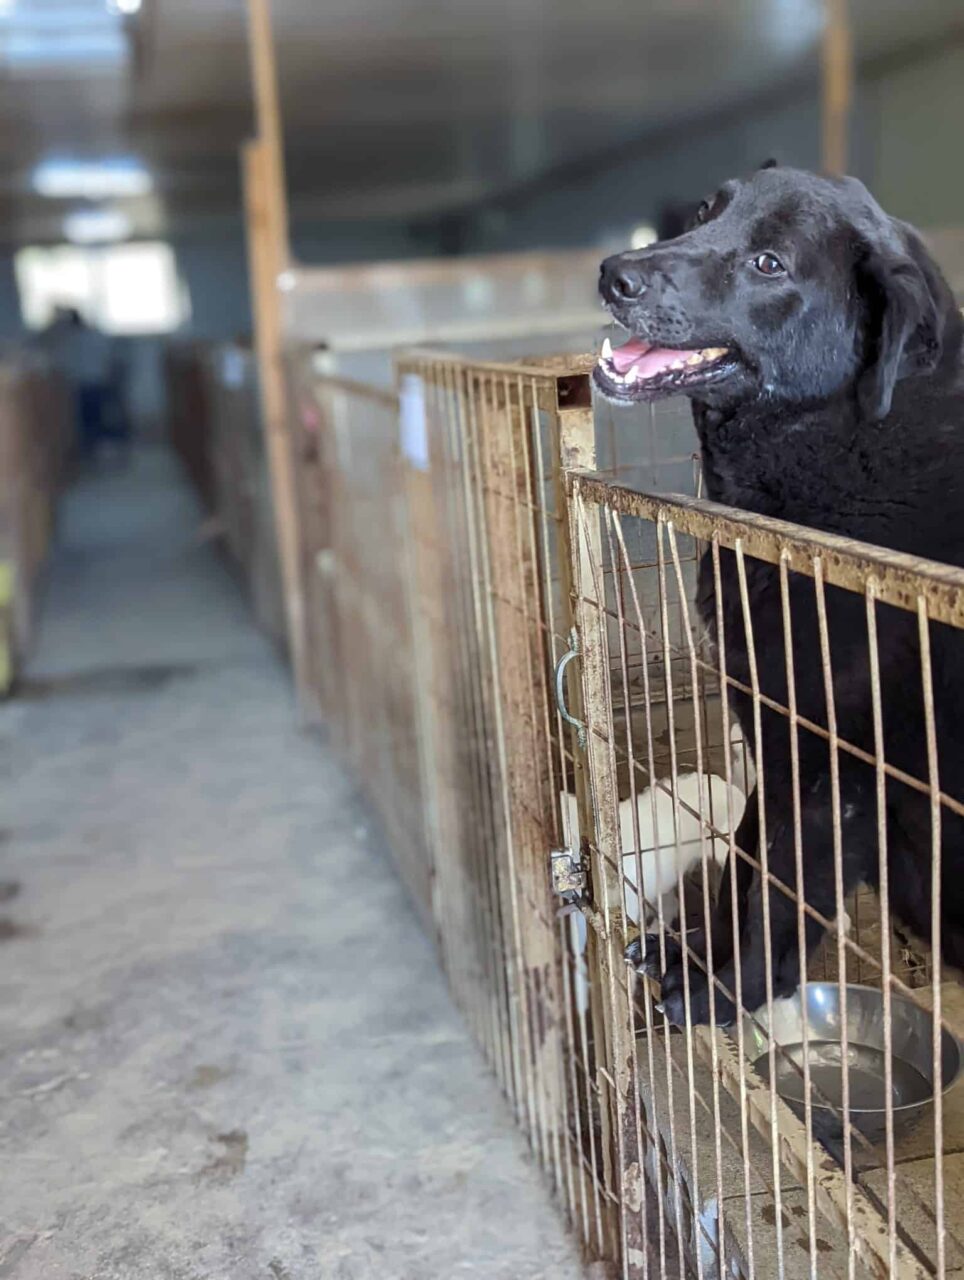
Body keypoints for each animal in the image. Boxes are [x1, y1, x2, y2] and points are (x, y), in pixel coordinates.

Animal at [591, 165, 962, 1029]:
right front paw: (695, 957)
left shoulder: (841, 771)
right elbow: (743, 861)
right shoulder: (773, 728)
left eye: (769, 264)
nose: (613, 275)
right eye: (704, 212)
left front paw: (728, 993)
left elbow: (782, 894)